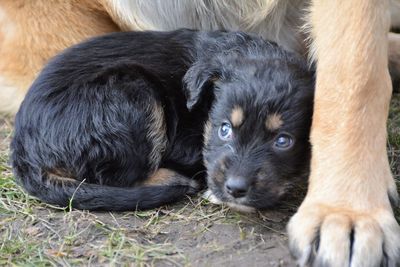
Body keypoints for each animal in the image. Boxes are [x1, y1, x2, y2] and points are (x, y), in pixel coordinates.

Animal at [10, 29, 314, 213]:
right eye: (224, 129)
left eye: (283, 141)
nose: (236, 189)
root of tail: (25, 151)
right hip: (131, 96)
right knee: (118, 177)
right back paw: (173, 181)